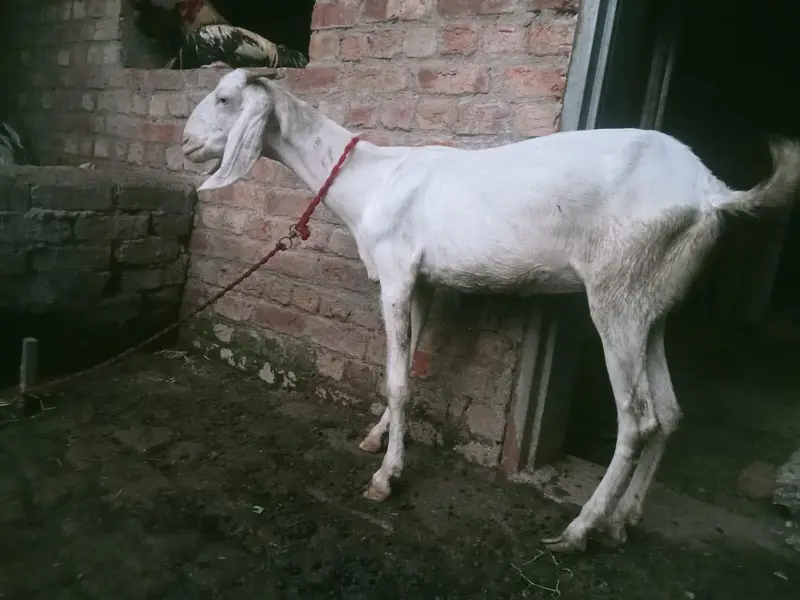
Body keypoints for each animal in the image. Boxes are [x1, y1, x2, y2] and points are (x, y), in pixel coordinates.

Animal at [182, 68, 800, 553]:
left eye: (224, 98)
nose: (185, 144)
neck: (372, 179)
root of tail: (711, 192)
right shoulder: (423, 283)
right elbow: (409, 369)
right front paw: (378, 439)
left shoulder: (397, 273)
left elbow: (397, 381)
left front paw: (386, 477)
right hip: (653, 299)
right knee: (670, 413)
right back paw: (624, 521)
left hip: (616, 291)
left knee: (639, 418)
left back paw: (579, 531)